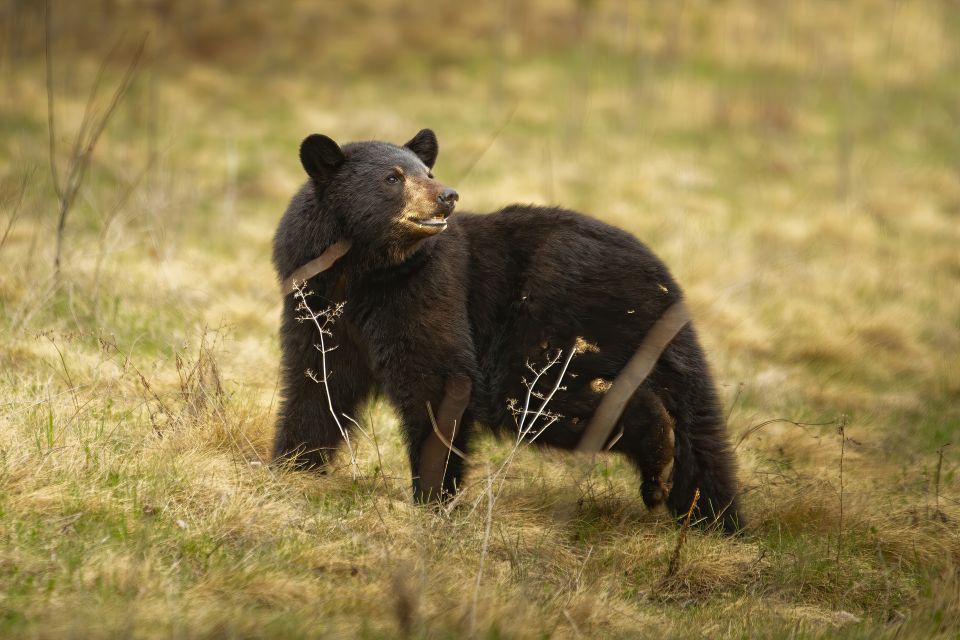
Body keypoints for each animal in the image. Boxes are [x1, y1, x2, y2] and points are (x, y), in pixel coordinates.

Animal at [272, 129, 744, 533]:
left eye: (427, 173)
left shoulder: (424, 292)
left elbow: (438, 381)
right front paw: (293, 464)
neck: (360, 273)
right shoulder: (314, 306)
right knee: (700, 434)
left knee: (541, 398)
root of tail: (662, 281)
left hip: (551, 328)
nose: (447, 196)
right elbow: (317, 384)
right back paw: (711, 516)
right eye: (393, 177)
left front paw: (432, 495)